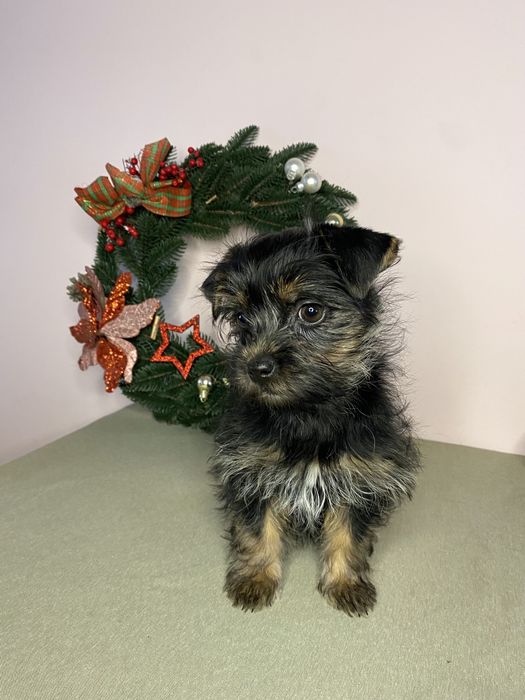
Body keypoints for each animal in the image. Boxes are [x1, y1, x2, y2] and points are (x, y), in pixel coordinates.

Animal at [200, 223, 420, 616]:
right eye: (240, 318)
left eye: (311, 311)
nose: (256, 367)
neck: (308, 412)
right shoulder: (251, 470)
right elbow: (256, 529)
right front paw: (256, 578)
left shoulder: (360, 477)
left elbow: (349, 533)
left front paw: (346, 583)